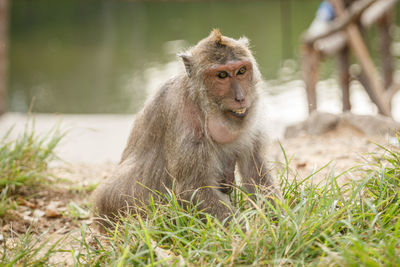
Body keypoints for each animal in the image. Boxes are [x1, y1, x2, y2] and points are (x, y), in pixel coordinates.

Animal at [94, 29, 282, 226]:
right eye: (222, 75)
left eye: (241, 71)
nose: (240, 97)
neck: (204, 106)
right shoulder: (185, 121)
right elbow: (194, 189)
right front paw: (248, 231)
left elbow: (256, 173)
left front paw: (279, 222)